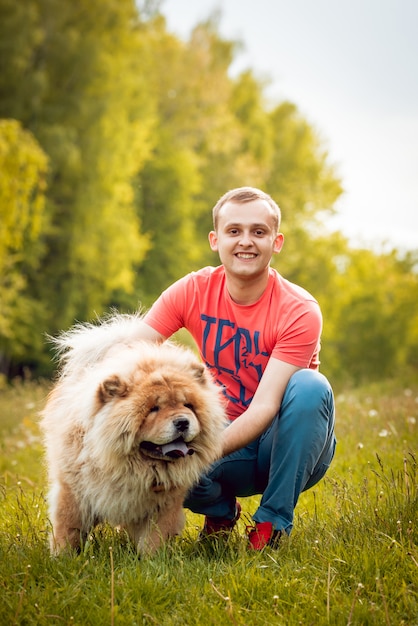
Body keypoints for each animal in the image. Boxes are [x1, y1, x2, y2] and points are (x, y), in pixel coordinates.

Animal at [40, 314, 225, 552]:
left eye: (188, 405)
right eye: (154, 409)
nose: (183, 422)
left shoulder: (164, 505)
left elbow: (154, 537)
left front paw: (152, 558)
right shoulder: (74, 493)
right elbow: (68, 529)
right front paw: (63, 556)